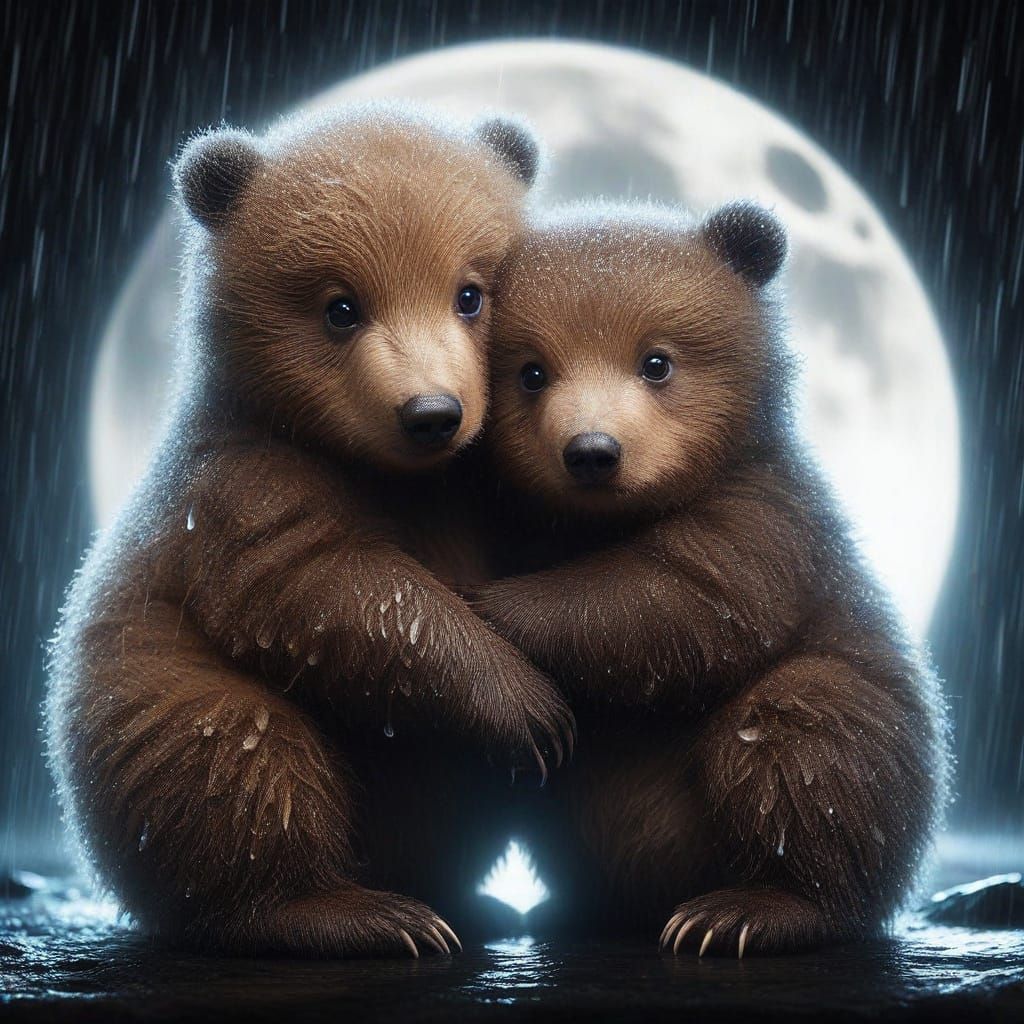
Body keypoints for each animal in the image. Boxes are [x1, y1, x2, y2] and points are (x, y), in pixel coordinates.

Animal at [45, 104, 574, 958]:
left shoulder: (484, 484)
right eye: (341, 308)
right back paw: (355, 911)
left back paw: (470, 903)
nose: (432, 413)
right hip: (147, 699)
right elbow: (334, 592)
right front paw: (527, 707)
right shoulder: (242, 483)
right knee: (234, 761)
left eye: (470, 294)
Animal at [472, 202, 948, 956]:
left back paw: (750, 909)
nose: (593, 452)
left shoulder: (762, 517)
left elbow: (683, 605)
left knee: (809, 731)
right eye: (532, 372)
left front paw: (492, 605)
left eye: (656, 362)